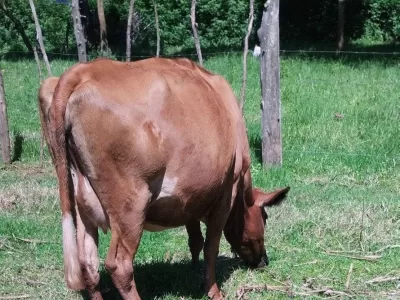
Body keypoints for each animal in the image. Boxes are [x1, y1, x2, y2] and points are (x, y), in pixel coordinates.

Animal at [39, 57, 290, 298]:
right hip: (130, 204)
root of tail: (82, 71)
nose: (264, 260)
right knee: (119, 265)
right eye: (265, 216)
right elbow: (211, 246)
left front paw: (193, 271)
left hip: (83, 202)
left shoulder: (190, 197)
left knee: (88, 265)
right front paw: (212, 290)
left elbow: (195, 239)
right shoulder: (227, 191)